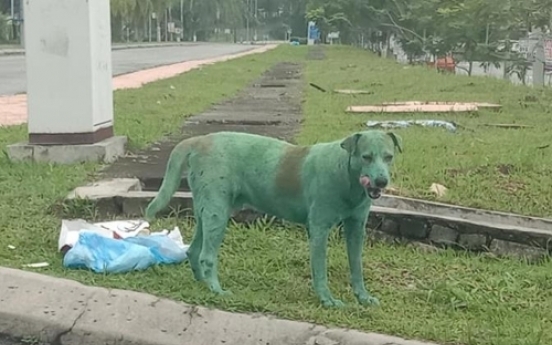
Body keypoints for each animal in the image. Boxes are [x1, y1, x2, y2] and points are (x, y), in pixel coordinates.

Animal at [144, 129, 404, 306]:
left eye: (389, 157)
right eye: (366, 157)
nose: (382, 181)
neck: (347, 173)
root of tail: (199, 140)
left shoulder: (356, 228)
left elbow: (356, 265)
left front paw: (363, 297)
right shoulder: (319, 230)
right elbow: (320, 269)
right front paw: (327, 300)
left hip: (208, 211)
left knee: (194, 250)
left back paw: (203, 284)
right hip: (217, 212)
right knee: (207, 256)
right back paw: (217, 290)